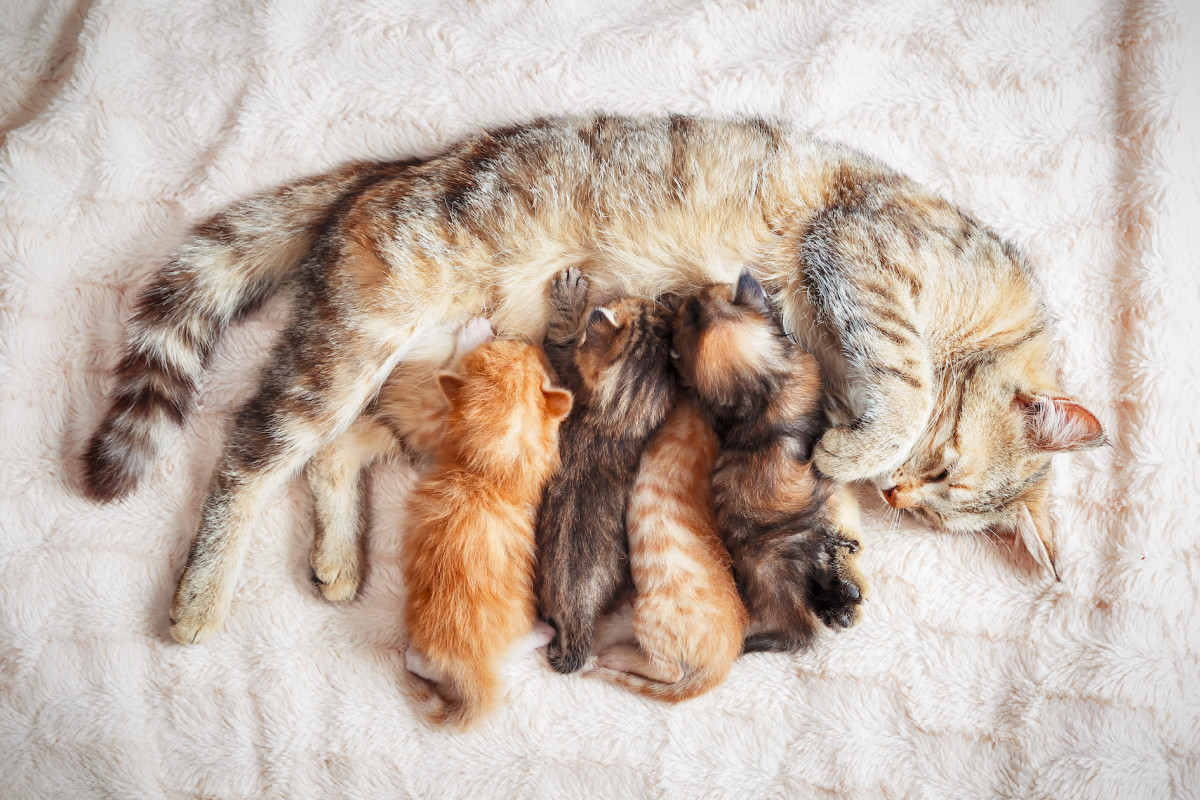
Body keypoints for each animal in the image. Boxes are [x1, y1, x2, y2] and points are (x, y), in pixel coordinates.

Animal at [535, 268, 676, 676]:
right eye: (651, 309)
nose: (658, 296)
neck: (615, 418)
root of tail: (576, 620)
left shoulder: (565, 372)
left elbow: (558, 339)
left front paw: (567, 302)